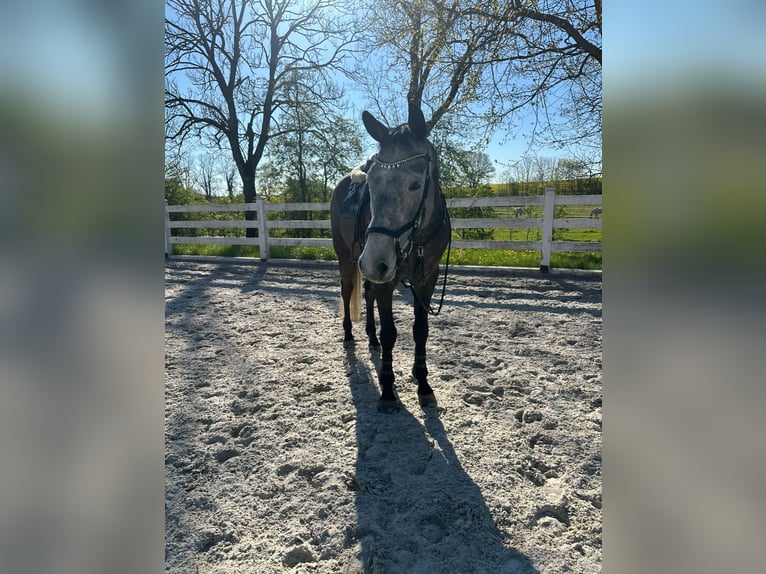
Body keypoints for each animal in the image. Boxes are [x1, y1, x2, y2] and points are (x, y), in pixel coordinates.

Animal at [328, 101, 450, 412]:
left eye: (416, 184)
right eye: (371, 184)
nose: (373, 262)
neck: (416, 239)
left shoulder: (427, 277)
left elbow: (420, 329)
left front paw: (423, 382)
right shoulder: (387, 279)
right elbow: (391, 333)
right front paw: (386, 388)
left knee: (368, 294)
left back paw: (371, 339)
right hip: (348, 260)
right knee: (348, 292)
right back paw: (350, 335)